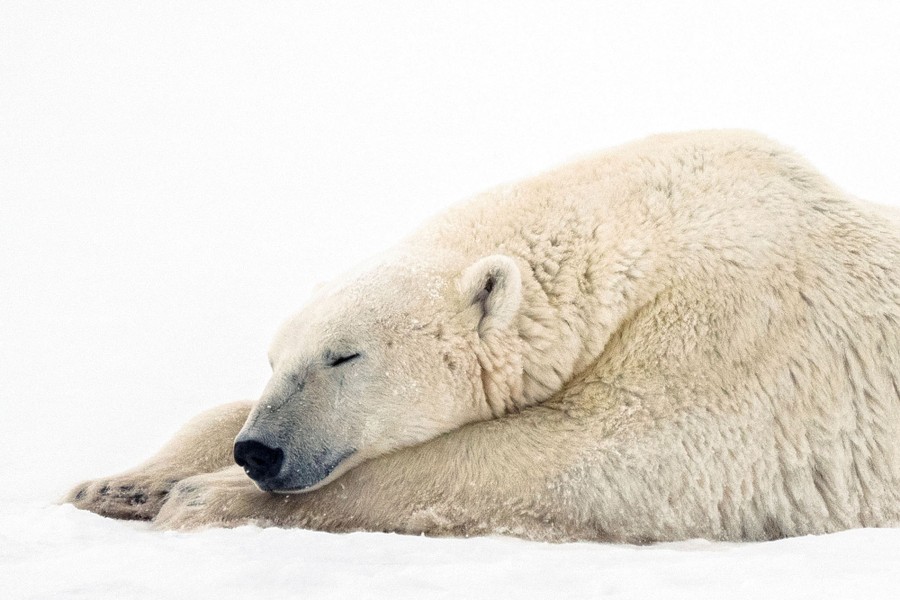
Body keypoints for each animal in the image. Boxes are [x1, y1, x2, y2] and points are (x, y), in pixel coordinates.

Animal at [66, 130, 900, 542]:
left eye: (345, 355)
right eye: (274, 358)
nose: (260, 451)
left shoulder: (738, 336)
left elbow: (592, 457)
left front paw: (204, 497)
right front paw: (117, 485)